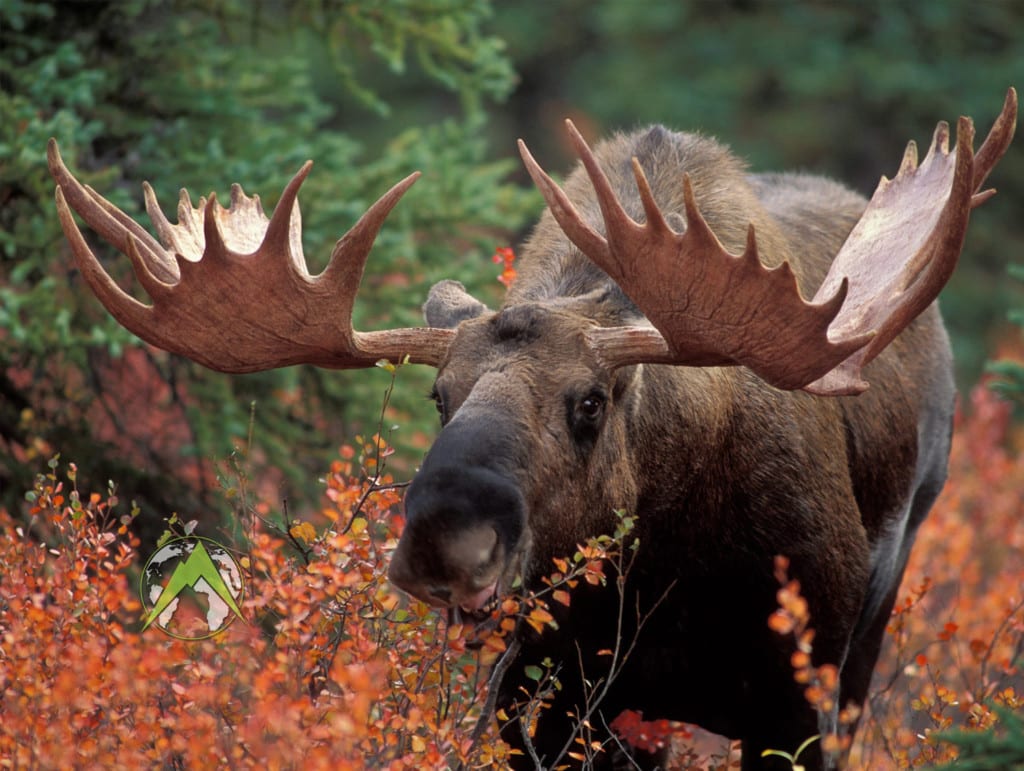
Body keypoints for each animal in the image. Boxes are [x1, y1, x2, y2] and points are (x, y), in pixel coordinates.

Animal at [49, 91, 1015, 769]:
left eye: (591, 400)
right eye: (438, 394)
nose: (445, 539)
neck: (662, 573)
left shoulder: (797, 695)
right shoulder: (540, 699)